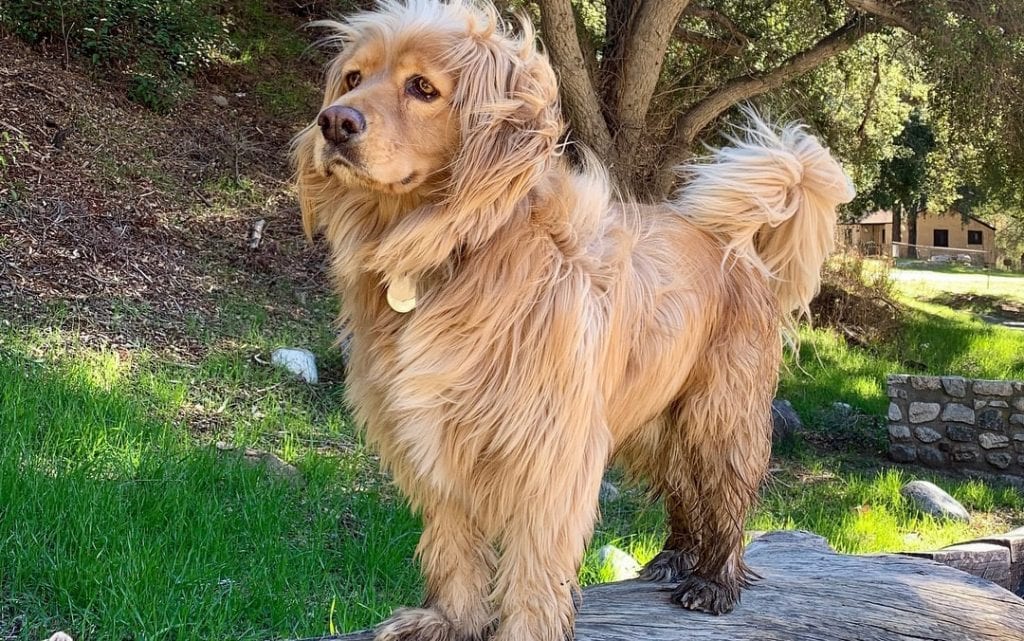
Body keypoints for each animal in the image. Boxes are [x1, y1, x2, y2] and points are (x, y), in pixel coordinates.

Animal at [290, 2, 856, 634]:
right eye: (353, 78)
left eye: (423, 88)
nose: (333, 123)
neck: (459, 249)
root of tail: (734, 243)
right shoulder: (437, 443)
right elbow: (455, 546)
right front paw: (451, 620)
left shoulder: (548, 453)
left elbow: (535, 569)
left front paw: (523, 631)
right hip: (655, 416)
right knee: (681, 487)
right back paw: (675, 557)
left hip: (719, 413)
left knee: (725, 495)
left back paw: (714, 579)